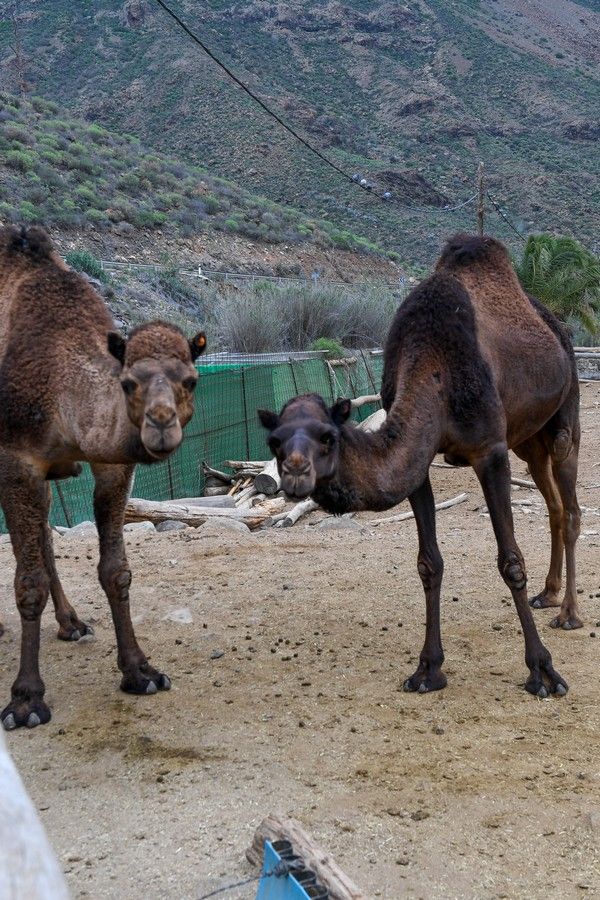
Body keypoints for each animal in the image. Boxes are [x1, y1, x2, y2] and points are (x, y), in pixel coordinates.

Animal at [0, 227, 206, 732]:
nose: (160, 424)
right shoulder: (16, 458)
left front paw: (140, 671)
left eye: (190, 379)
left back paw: (71, 623)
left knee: (44, 533)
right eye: (128, 382)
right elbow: (27, 581)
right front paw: (26, 700)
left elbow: (116, 570)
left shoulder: (111, 464)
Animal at [258, 236, 580, 700]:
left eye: (327, 437)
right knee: (553, 505)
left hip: (565, 412)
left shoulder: (490, 450)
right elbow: (429, 562)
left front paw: (543, 672)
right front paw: (428, 669)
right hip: (527, 440)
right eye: (275, 442)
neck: (435, 367)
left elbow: (511, 561)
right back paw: (549, 595)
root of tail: (558, 327)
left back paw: (570, 613)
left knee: (570, 504)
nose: (295, 473)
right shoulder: (421, 462)